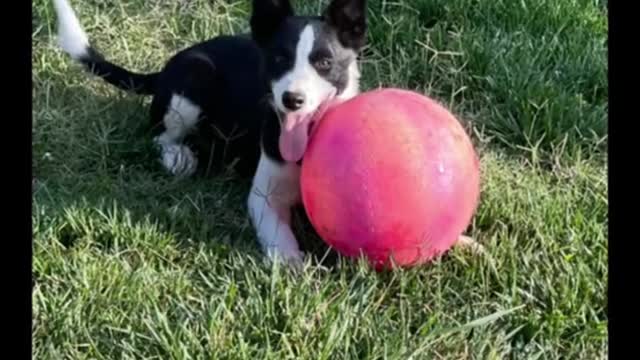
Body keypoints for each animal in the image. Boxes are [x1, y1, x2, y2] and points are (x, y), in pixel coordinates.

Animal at [53, 0, 480, 266]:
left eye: (324, 63)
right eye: (278, 60)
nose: (292, 100)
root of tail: (166, 67)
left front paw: (463, 243)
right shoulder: (264, 198)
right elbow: (279, 233)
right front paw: (291, 263)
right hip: (194, 78)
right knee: (162, 135)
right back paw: (178, 157)